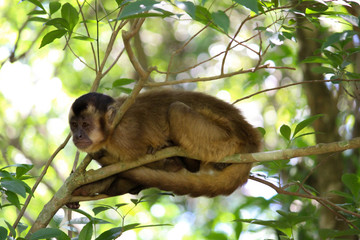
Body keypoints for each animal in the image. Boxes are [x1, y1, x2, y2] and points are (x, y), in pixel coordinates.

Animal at [66, 89, 260, 207]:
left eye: (85, 124)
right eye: (74, 125)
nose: (77, 136)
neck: (112, 131)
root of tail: (251, 138)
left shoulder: (126, 136)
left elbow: (134, 163)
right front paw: (83, 189)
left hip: (223, 139)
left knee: (177, 110)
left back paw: (186, 161)